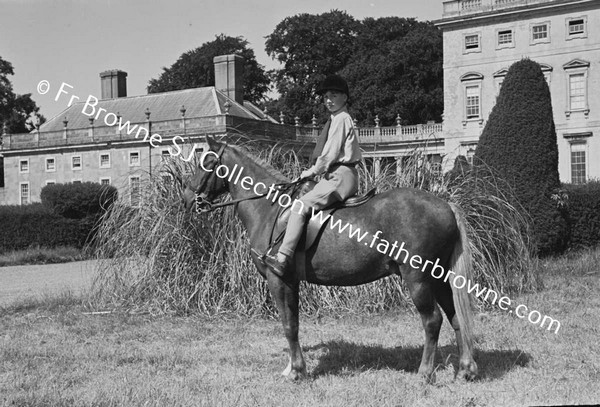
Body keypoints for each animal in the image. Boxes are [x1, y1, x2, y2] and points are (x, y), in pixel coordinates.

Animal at [183, 139, 478, 384]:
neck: (270, 207)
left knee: (432, 320)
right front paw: (293, 368)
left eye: (205, 162)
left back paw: (425, 373)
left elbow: (288, 325)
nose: (188, 199)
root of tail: (445, 205)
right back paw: (465, 369)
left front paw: (296, 372)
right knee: (455, 317)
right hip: (437, 278)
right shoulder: (292, 282)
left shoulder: (278, 279)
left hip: (417, 279)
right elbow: (294, 323)